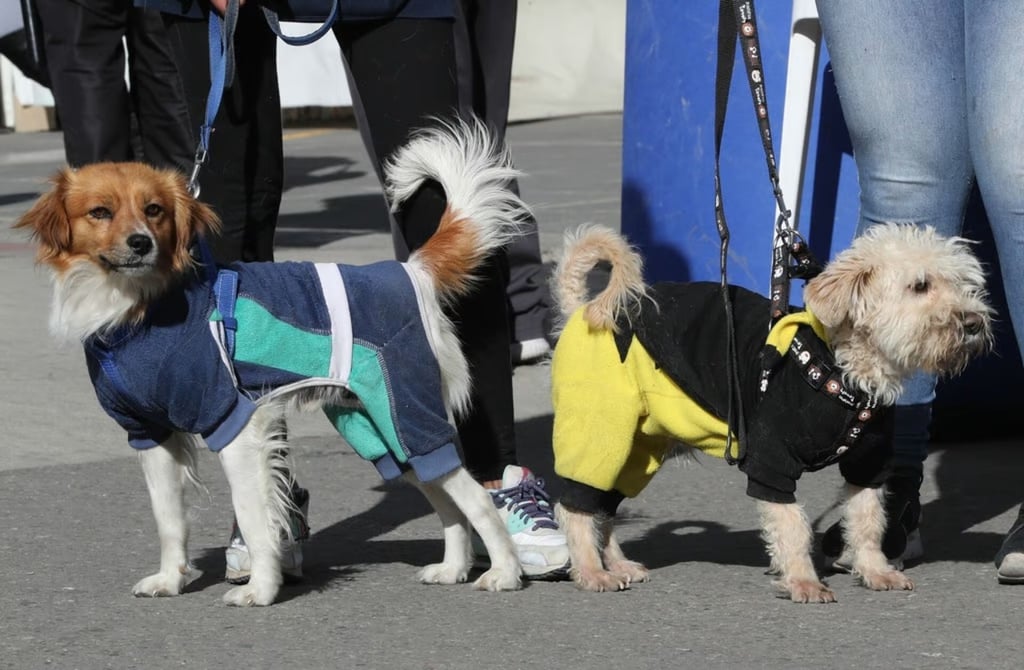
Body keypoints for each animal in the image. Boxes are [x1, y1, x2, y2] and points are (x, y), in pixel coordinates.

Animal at [16, 120, 528, 610]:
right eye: (100, 212)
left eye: (154, 210)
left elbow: (255, 518)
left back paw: (504, 573)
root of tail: (412, 271)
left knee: (477, 498)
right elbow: (169, 519)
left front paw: (261, 590)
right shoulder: (149, 434)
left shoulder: (233, 423)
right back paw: (453, 568)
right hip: (378, 432)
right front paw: (170, 580)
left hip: (405, 413)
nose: (140, 243)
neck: (137, 310)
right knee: (447, 499)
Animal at [552, 224, 991, 602]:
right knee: (575, 507)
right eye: (920, 285)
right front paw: (802, 580)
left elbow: (867, 521)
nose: (974, 323)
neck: (841, 371)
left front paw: (875, 571)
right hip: (600, 437)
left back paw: (618, 564)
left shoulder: (868, 463)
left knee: (602, 507)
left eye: (965, 284)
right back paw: (591, 571)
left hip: (635, 451)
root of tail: (584, 309)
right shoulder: (771, 462)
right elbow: (793, 527)